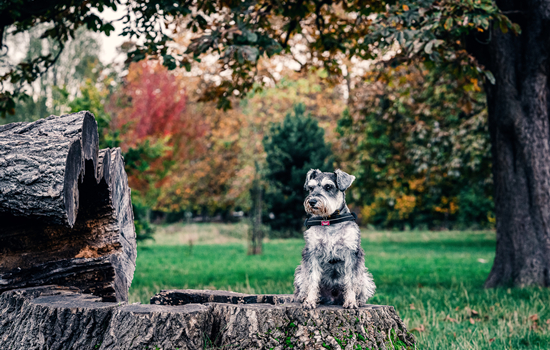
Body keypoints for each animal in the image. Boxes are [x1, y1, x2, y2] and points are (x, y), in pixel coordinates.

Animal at [296, 170, 378, 308]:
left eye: (328, 187)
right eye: (311, 188)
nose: (312, 201)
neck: (329, 221)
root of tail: (333, 298)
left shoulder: (351, 252)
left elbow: (351, 280)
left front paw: (350, 301)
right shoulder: (312, 252)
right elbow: (312, 279)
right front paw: (310, 301)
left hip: (365, 276)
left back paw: (359, 300)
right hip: (300, 272)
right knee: (304, 284)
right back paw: (303, 297)